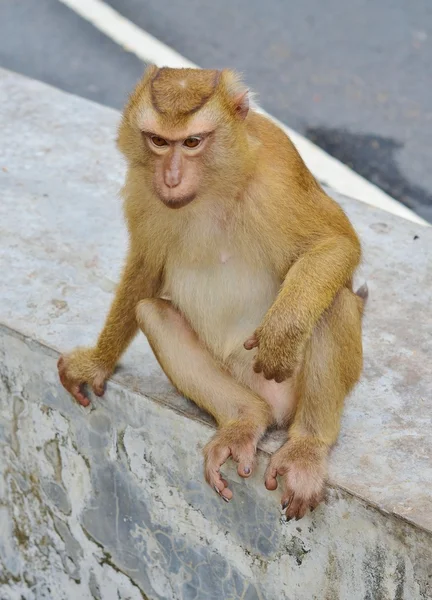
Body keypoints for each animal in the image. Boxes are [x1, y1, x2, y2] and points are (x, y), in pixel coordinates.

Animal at [58, 65, 368, 520]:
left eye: (192, 142)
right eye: (158, 141)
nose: (170, 178)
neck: (211, 188)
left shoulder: (279, 172)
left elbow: (336, 243)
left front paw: (282, 332)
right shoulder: (141, 187)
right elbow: (145, 271)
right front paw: (97, 361)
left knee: (332, 303)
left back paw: (307, 447)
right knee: (151, 312)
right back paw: (244, 420)